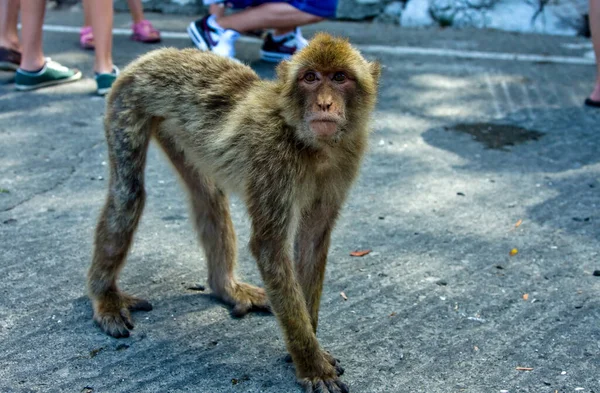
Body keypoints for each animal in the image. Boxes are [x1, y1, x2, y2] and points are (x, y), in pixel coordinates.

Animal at [88, 34, 380, 392]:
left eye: (340, 78)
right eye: (310, 78)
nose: (324, 104)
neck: (309, 143)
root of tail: (158, 55)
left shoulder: (345, 160)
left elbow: (312, 239)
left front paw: (306, 345)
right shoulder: (274, 159)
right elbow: (270, 247)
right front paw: (310, 362)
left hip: (173, 128)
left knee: (208, 196)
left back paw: (224, 287)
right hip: (127, 101)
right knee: (128, 194)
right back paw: (104, 295)